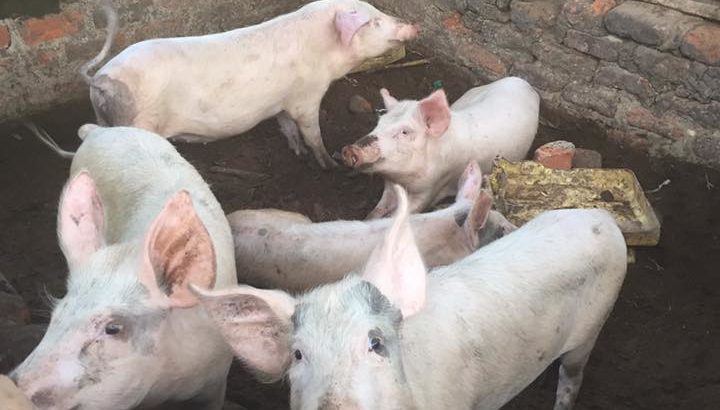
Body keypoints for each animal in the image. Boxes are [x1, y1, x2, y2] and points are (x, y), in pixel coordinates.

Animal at [10, 125, 237, 410]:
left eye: (113, 328)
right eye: (55, 316)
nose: (12, 386)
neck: (170, 382)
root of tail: (99, 131)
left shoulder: (217, 379)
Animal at [81, 0, 418, 169]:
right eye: (374, 21)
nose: (413, 24)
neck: (323, 51)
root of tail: (103, 80)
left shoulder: (282, 100)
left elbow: (286, 127)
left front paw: (297, 153)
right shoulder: (306, 97)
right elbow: (312, 134)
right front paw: (329, 164)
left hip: (103, 115)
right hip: (139, 123)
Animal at [194, 185, 627, 410]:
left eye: (377, 344)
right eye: (297, 354)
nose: (514, 225)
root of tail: (602, 221)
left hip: (594, 322)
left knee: (572, 374)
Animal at [342, 76, 540, 218]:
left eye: (405, 132)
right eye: (379, 122)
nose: (350, 149)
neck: (403, 179)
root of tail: (526, 85)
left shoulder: (432, 188)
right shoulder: (391, 184)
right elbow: (377, 210)